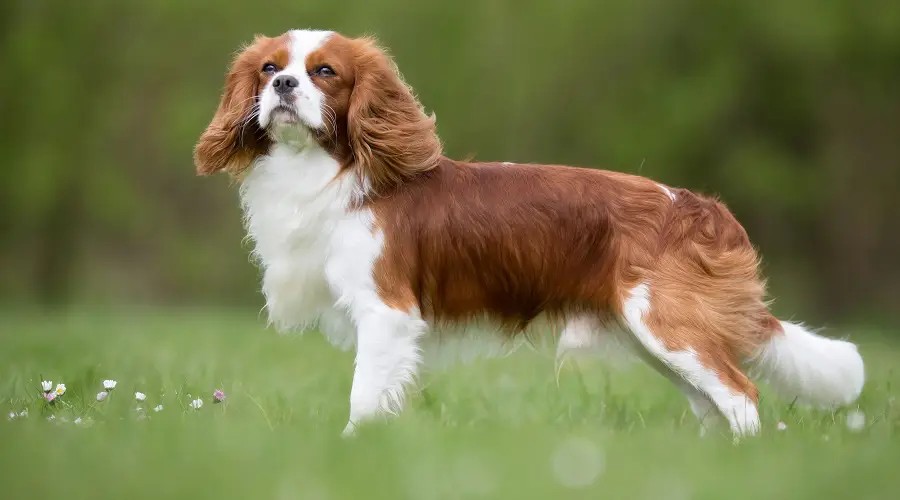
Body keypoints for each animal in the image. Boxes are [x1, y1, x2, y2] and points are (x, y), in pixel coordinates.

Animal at [195, 29, 864, 436]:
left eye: (325, 72)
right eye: (269, 67)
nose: (283, 85)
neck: (326, 169)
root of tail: (704, 210)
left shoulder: (386, 313)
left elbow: (364, 397)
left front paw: (353, 446)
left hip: (668, 324)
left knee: (741, 393)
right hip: (657, 339)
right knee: (712, 402)